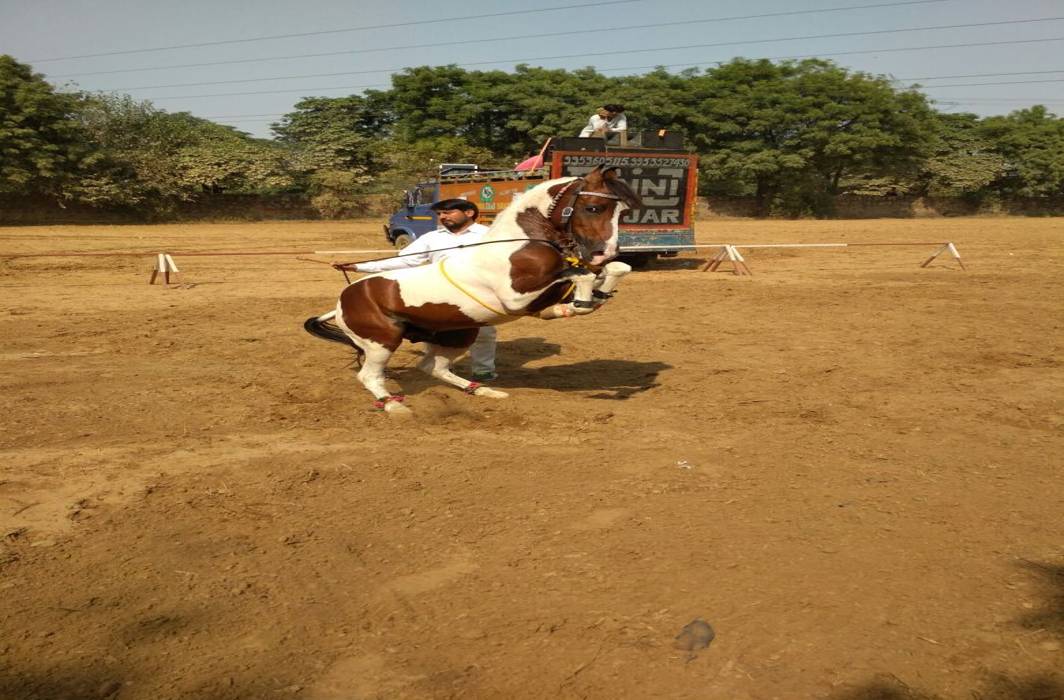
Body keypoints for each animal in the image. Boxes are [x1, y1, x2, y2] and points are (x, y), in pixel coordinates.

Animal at [304, 165, 642, 410]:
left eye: (623, 211)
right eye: (594, 207)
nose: (604, 252)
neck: (519, 245)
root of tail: (340, 303)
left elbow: (611, 272)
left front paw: (589, 297)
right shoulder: (516, 299)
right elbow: (579, 276)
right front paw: (575, 305)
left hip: (458, 334)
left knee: (433, 367)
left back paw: (482, 391)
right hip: (382, 342)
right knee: (370, 376)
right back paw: (393, 405)